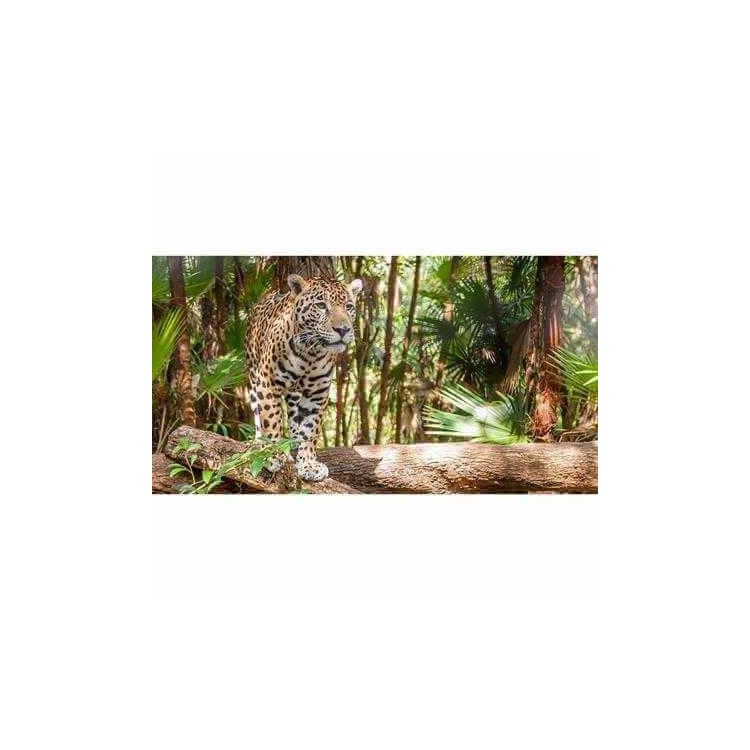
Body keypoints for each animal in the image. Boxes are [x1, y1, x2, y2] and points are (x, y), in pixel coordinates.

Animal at [244, 273, 363, 481]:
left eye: (349, 306)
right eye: (321, 305)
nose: (343, 330)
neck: (310, 354)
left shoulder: (317, 394)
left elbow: (310, 429)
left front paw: (308, 463)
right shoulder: (268, 383)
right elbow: (271, 420)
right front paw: (273, 455)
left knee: (294, 416)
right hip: (253, 375)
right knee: (258, 415)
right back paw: (260, 442)